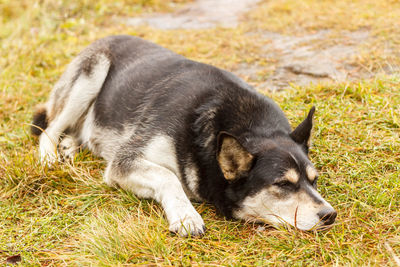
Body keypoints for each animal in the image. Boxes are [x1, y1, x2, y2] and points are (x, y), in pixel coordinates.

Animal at [32, 35, 338, 237]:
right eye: (283, 184)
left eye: (314, 180)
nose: (330, 215)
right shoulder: (124, 162)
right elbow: (168, 177)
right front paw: (186, 215)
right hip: (90, 76)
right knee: (48, 129)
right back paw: (49, 157)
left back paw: (69, 146)